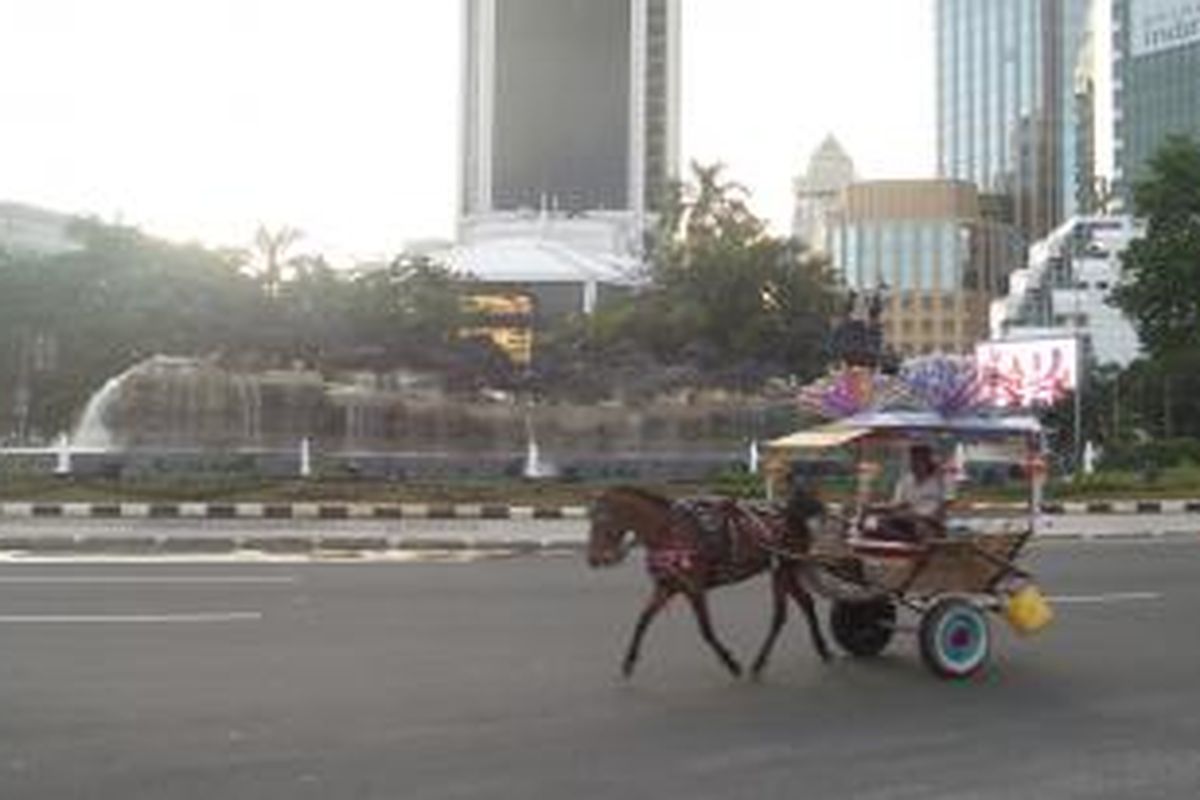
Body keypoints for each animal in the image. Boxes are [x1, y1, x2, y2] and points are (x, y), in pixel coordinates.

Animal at [585, 484, 830, 681]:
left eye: (602, 519)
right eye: (590, 519)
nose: (594, 559)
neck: (671, 533)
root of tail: (793, 512)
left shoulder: (694, 588)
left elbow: (706, 630)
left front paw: (731, 663)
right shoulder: (667, 586)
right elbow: (643, 620)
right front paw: (629, 661)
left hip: (783, 568)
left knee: (780, 615)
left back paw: (759, 663)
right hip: (787, 568)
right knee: (806, 603)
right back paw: (822, 649)